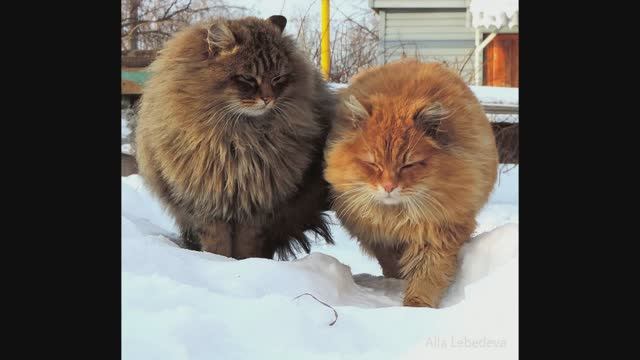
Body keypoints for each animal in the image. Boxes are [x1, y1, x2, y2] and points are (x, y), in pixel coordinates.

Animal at [324, 59, 500, 306]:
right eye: (373, 164)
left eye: (408, 165)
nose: (389, 187)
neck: (397, 215)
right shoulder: (380, 238)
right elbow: (391, 262)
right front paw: (398, 282)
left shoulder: (437, 231)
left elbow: (427, 273)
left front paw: (416, 305)